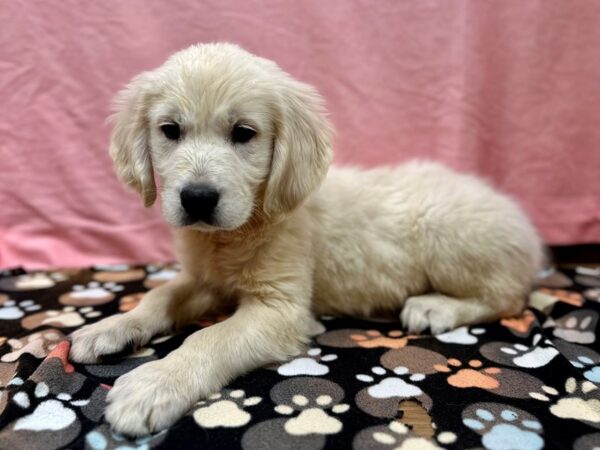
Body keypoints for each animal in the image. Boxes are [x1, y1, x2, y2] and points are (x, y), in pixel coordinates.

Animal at [69, 43, 544, 436]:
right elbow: (159, 296)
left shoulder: (280, 308)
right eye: (170, 130)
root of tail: (526, 226)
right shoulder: (204, 280)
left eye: (244, 133)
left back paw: (436, 307)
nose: (197, 198)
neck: (235, 233)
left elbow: (208, 338)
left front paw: (155, 383)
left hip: (446, 232)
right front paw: (111, 326)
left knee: (508, 297)